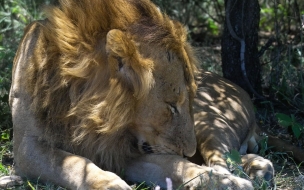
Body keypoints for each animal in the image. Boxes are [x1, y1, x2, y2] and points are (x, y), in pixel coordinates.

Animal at [10, 0, 274, 189]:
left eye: (184, 101)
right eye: (171, 105)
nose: (189, 152)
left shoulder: (128, 150)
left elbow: (176, 165)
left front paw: (221, 182)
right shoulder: (27, 147)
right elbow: (74, 163)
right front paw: (111, 185)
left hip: (209, 120)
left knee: (224, 159)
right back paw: (258, 166)